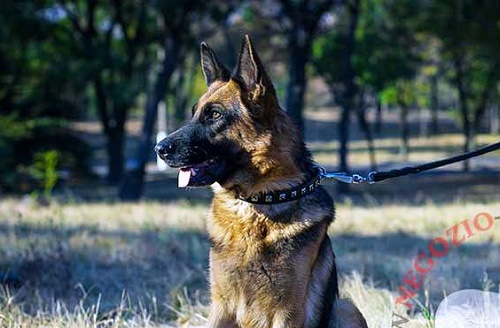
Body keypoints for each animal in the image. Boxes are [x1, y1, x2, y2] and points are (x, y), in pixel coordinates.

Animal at [156, 34, 368, 326]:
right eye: (194, 113)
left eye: (215, 115)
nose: (158, 149)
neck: (257, 203)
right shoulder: (221, 307)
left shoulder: (288, 312)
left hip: (346, 307)